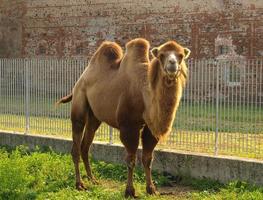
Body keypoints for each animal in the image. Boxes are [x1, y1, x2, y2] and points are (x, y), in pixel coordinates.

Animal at [56, 38, 191, 198]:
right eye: (162, 55)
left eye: (181, 55)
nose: (172, 64)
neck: (145, 94)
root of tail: (80, 80)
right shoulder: (128, 126)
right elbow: (131, 159)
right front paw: (130, 191)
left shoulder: (150, 129)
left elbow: (148, 159)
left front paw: (151, 189)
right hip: (79, 101)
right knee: (76, 143)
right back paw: (79, 184)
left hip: (94, 117)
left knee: (86, 145)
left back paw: (93, 179)